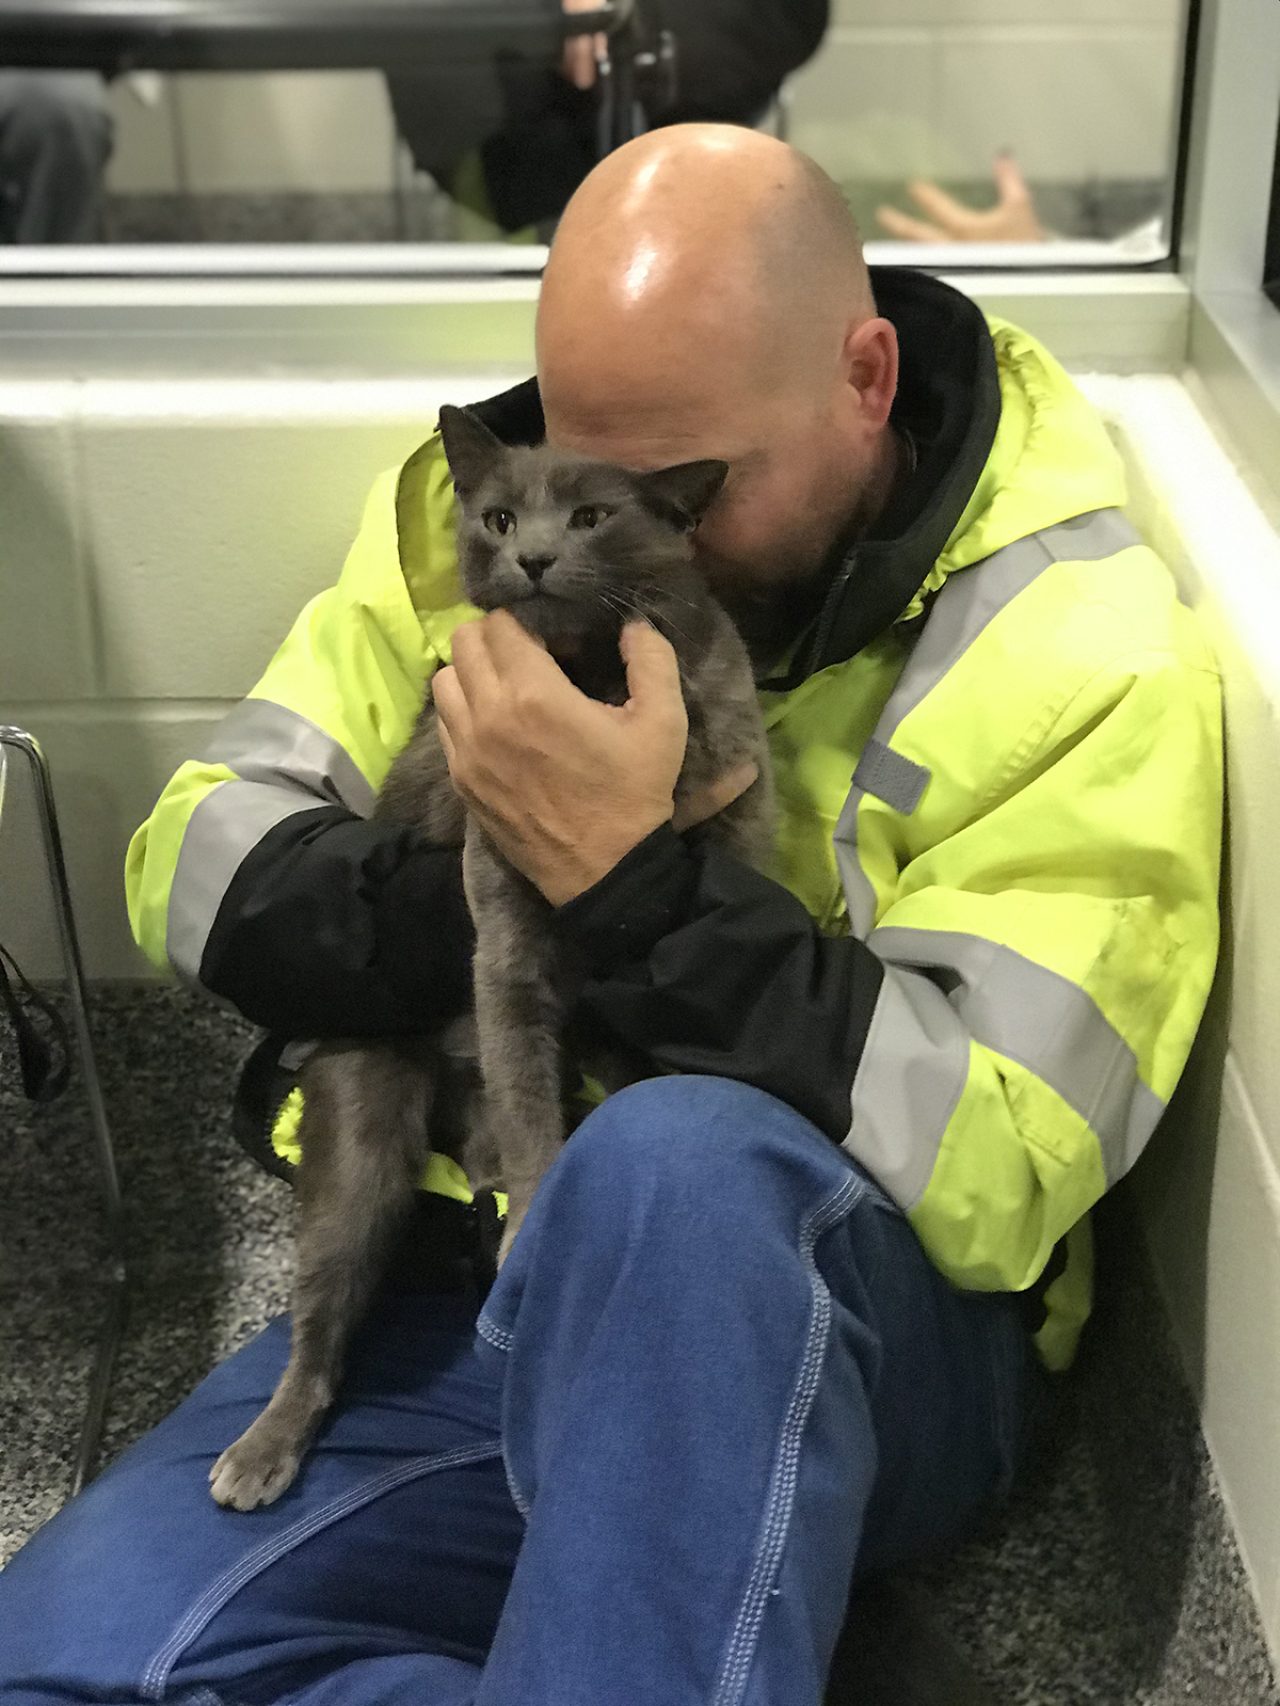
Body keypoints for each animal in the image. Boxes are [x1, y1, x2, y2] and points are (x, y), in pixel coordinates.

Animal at [205, 406, 778, 1514]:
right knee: (326, 1313)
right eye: (499, 515)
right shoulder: (500, 916)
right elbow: (527, 1088)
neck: (590, 676)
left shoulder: (736, 808)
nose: (535, 554)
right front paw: (533, 1217)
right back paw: (259, 1451)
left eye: (593, 516)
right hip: (361, 1117)